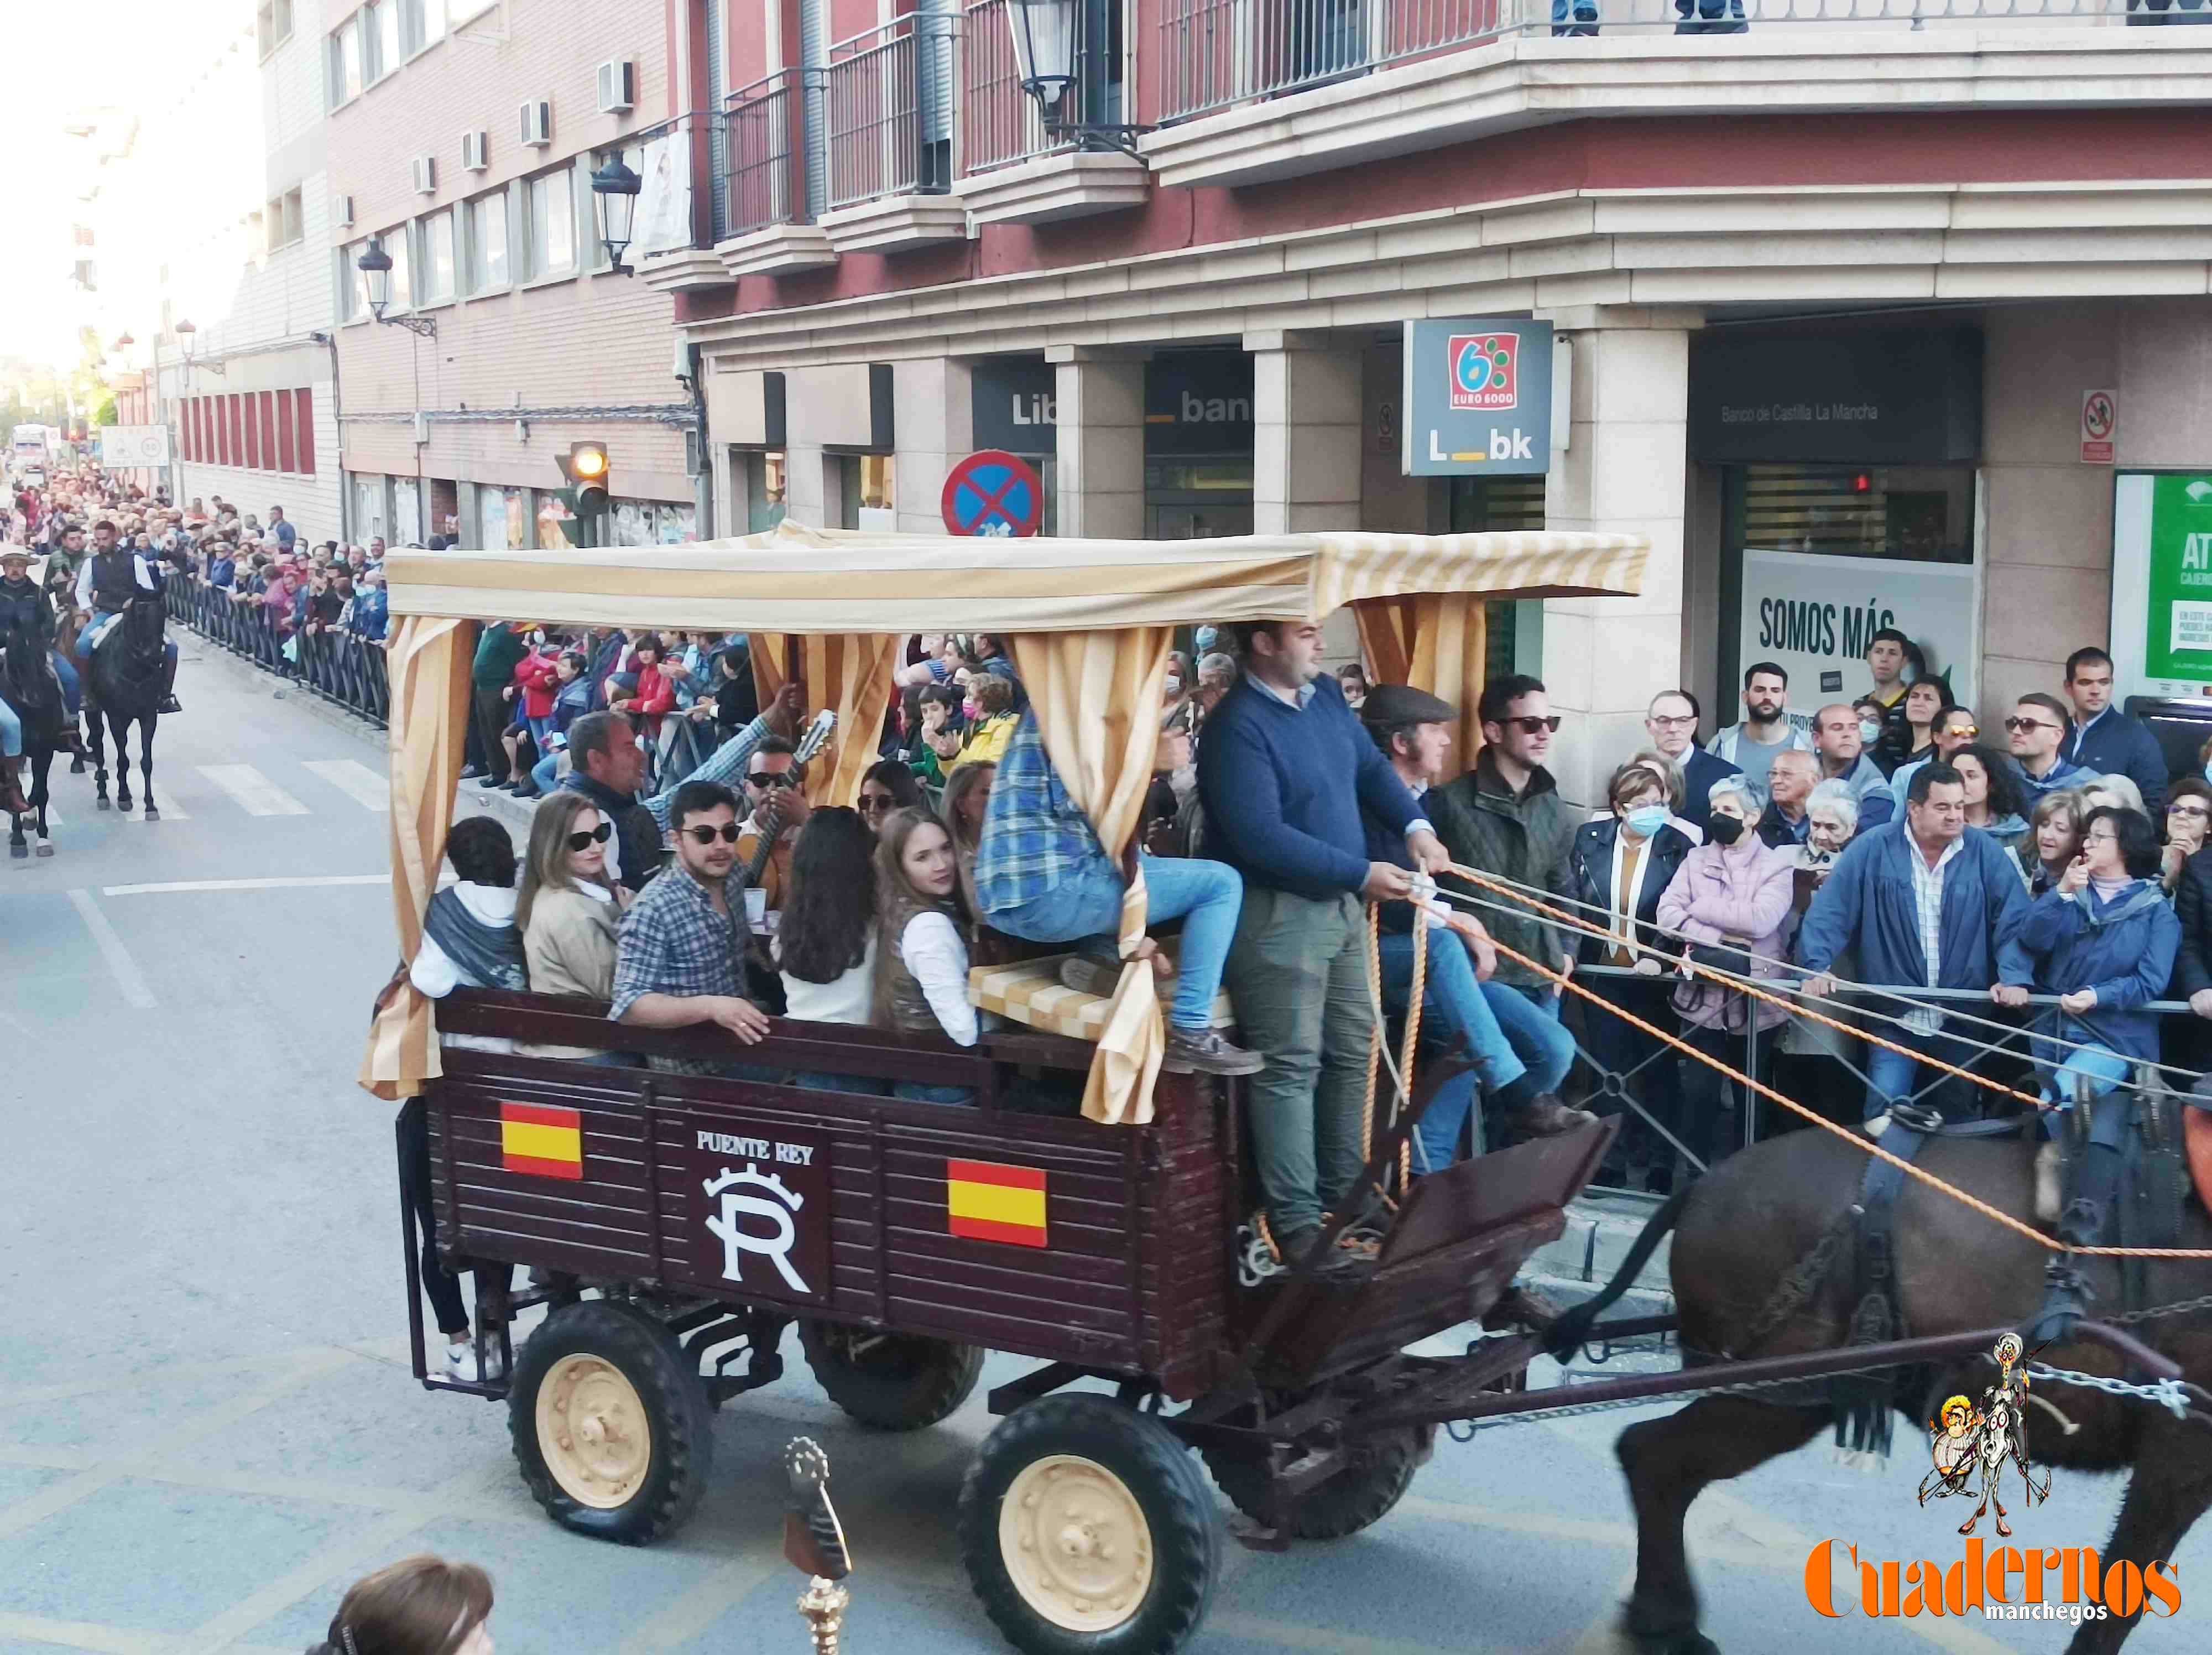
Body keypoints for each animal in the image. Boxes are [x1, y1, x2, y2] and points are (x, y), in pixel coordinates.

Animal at [1, 624, 65, 858]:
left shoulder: (44, 750)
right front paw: (18, 840)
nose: (34, 697)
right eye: (16, 650)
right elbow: (15, 788)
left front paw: (42, 837)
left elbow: (40, 792)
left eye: (40, 651)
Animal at [85, 597, 165, 823]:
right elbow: (123, 760)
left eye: (163, 611)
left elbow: (146, 762)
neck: (135, 670)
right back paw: (103, 794)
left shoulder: (149, 716)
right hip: (95, 713)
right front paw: (122, 797)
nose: (155, 656)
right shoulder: (116, 717)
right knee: (98, 747)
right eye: (140, 614)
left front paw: (150, 805)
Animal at [1557, 1124, 2212, 1655]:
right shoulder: (2181, 1452)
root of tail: (1701, 1185)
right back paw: (1666, 1622)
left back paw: (1663, 1620)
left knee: (1658, 1460)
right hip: (1779, 1396)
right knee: (1655, 1456)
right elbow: (2122, 1591)